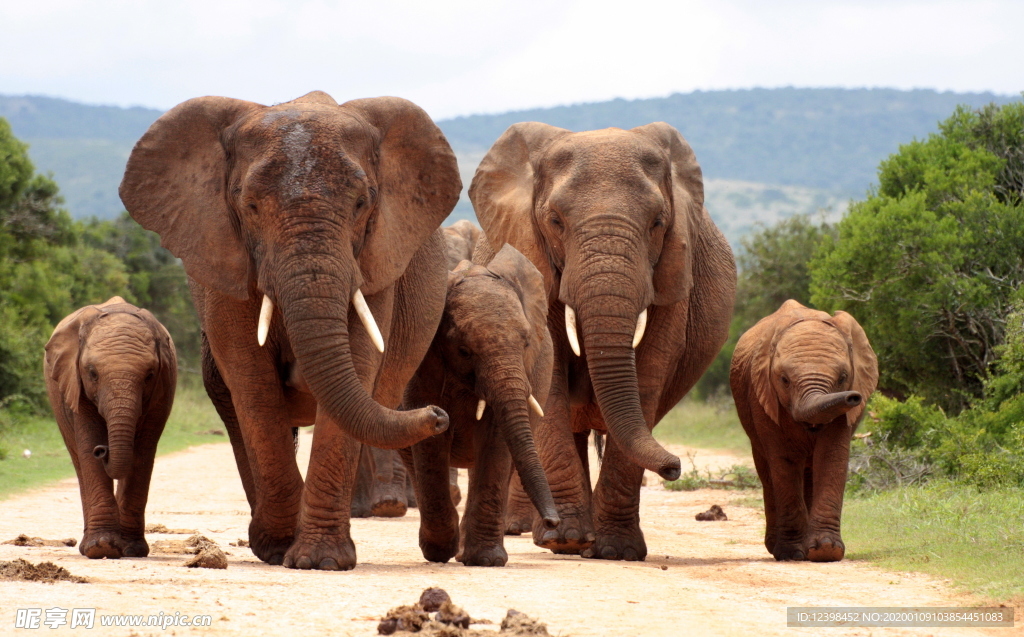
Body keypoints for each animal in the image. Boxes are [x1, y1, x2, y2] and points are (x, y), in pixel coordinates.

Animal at [44, 296, 178, 557]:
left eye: (149, 375)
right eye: (92, 373)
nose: (102, 450)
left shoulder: (163, 387)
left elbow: (144, 450)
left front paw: (132, 549)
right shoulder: (75, 383)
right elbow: (88, 441)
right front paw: (101, 547)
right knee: (78, 458)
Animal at [117, 91, 464, 573]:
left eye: (363, 203)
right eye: (250, 206)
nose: (439, 414)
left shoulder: (375, 261)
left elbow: (359, 365)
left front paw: (320, 560)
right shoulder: (224, 260)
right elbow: (252, 381)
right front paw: (282, 549)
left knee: (388, 407)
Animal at [399, 241, 561, 565]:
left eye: (526, 343)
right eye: (464, 350)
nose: (554, 522)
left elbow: (496, 438)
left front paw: (486, 559)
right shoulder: (422, 364)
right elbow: (431, 438)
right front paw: (440, 551)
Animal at [471, 122, 737, 561]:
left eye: (658, 222)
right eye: (555, 221)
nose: (675, 468)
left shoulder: (672, 277)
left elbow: (648, 375)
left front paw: (616, 551)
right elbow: (550, 380)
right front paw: (566, 540)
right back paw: (552, 534)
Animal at [729, 301, 880, 565]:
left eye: (843, 378)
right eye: (784, 379)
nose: (854, 397)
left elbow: (831, 456)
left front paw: (826, 551)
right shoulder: (763, 396)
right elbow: (784, 461)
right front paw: (791, 553)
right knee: (768, 472)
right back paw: (775, 547)